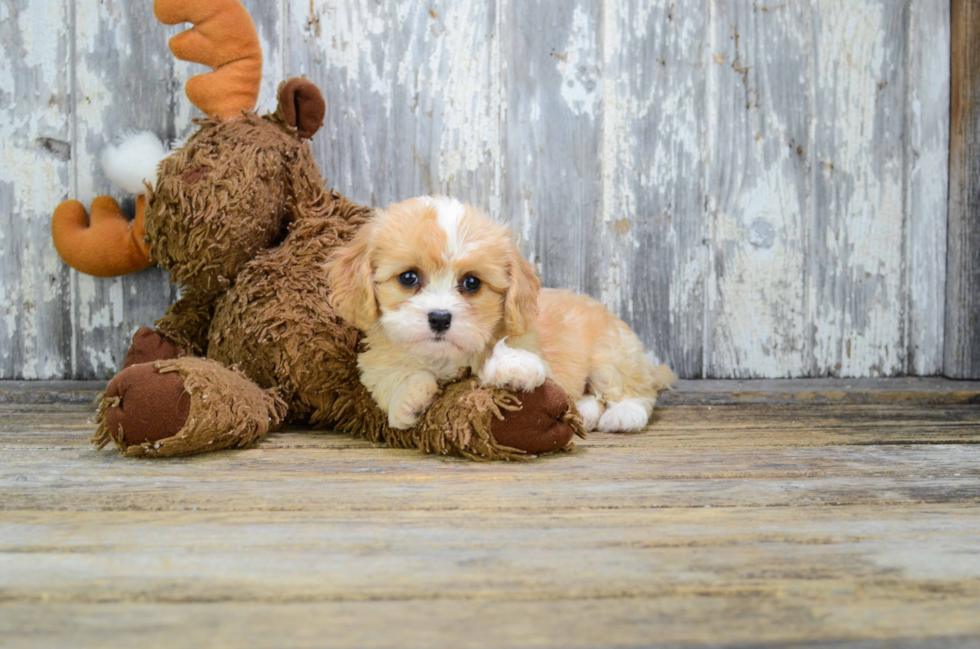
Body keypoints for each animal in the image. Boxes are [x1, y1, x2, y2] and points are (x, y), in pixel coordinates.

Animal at [328, 195, 672, 432]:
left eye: (471, 282)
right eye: (409, 278)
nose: (440, 317)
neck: (445, 359)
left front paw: (511, 366)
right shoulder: (375, 362)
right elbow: (392, 376)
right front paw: (409, 398)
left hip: (611, 354)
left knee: (634, 391)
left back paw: (622, 415)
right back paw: (585, 411)